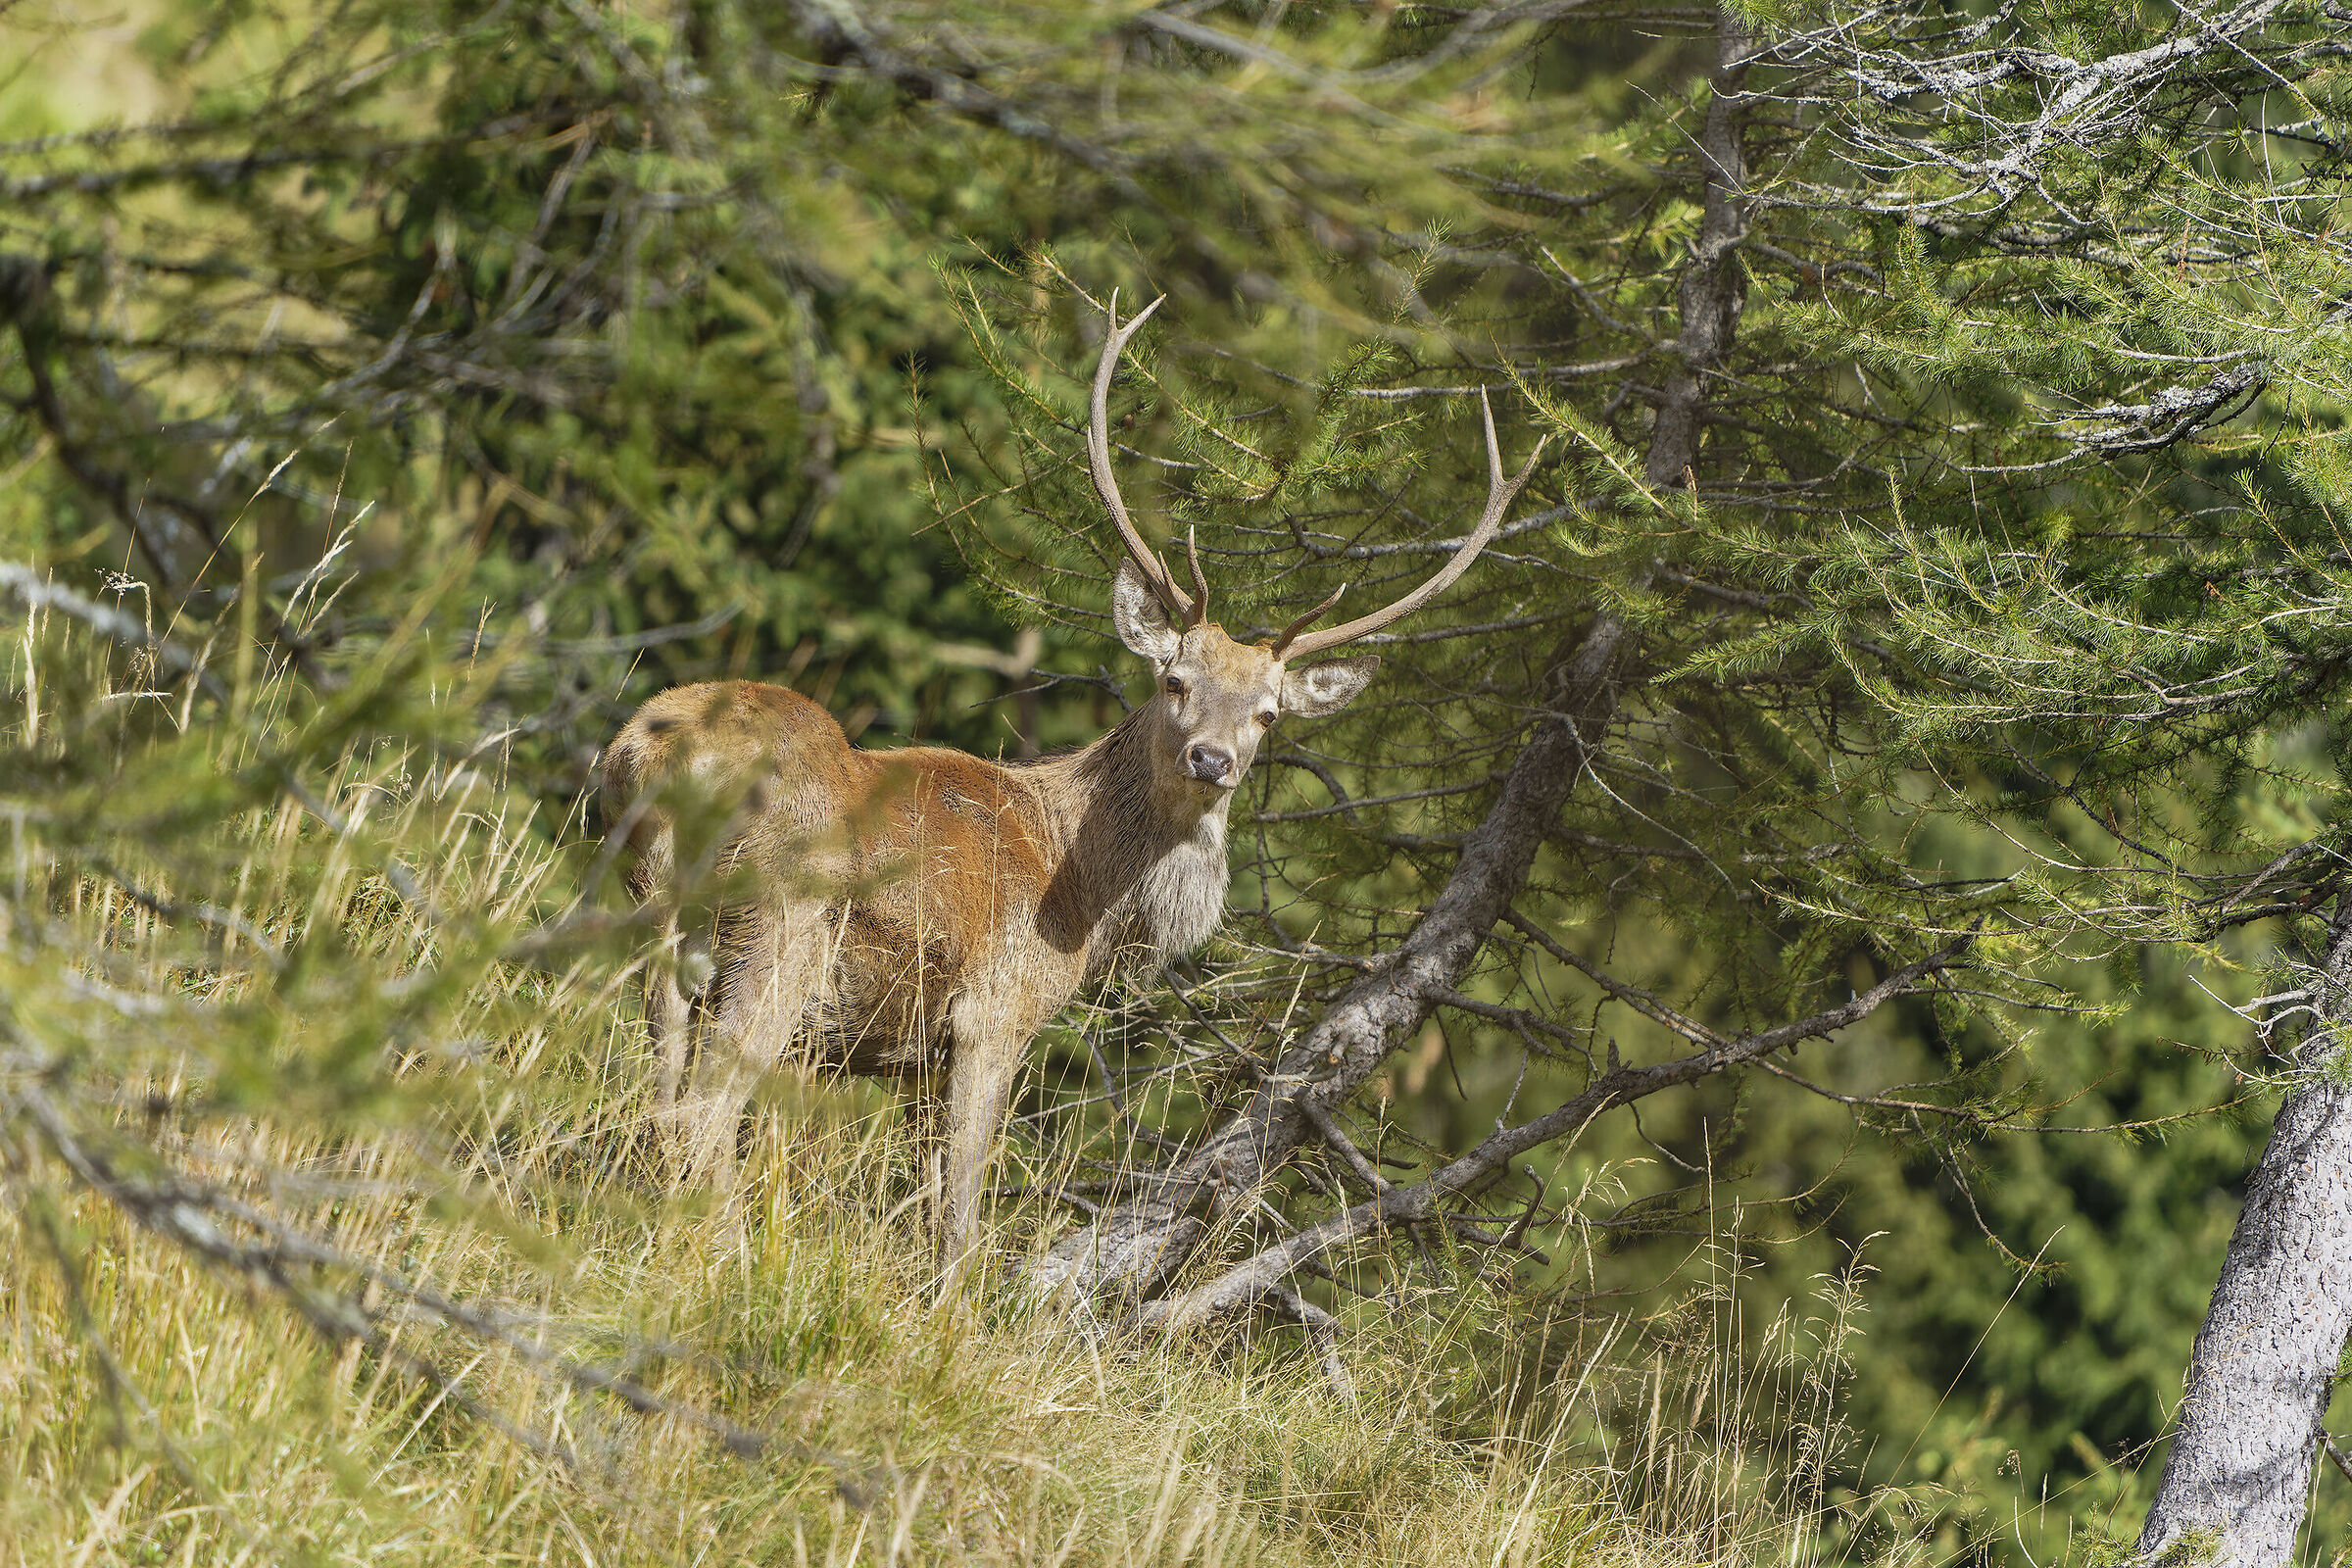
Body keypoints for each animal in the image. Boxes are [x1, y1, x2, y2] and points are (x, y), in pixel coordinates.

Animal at [599, 294, 1547, 1281]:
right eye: (1175, 681)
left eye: (1267, 715)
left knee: (656, 1098)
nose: (1213, 760)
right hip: (779, 928)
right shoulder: (993, 1011)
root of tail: (652, 756)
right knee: (703, 1112)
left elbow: (925, 1210)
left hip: (652, 927)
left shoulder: (914, 1061)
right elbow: (959, 1219)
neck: (1085, 898)